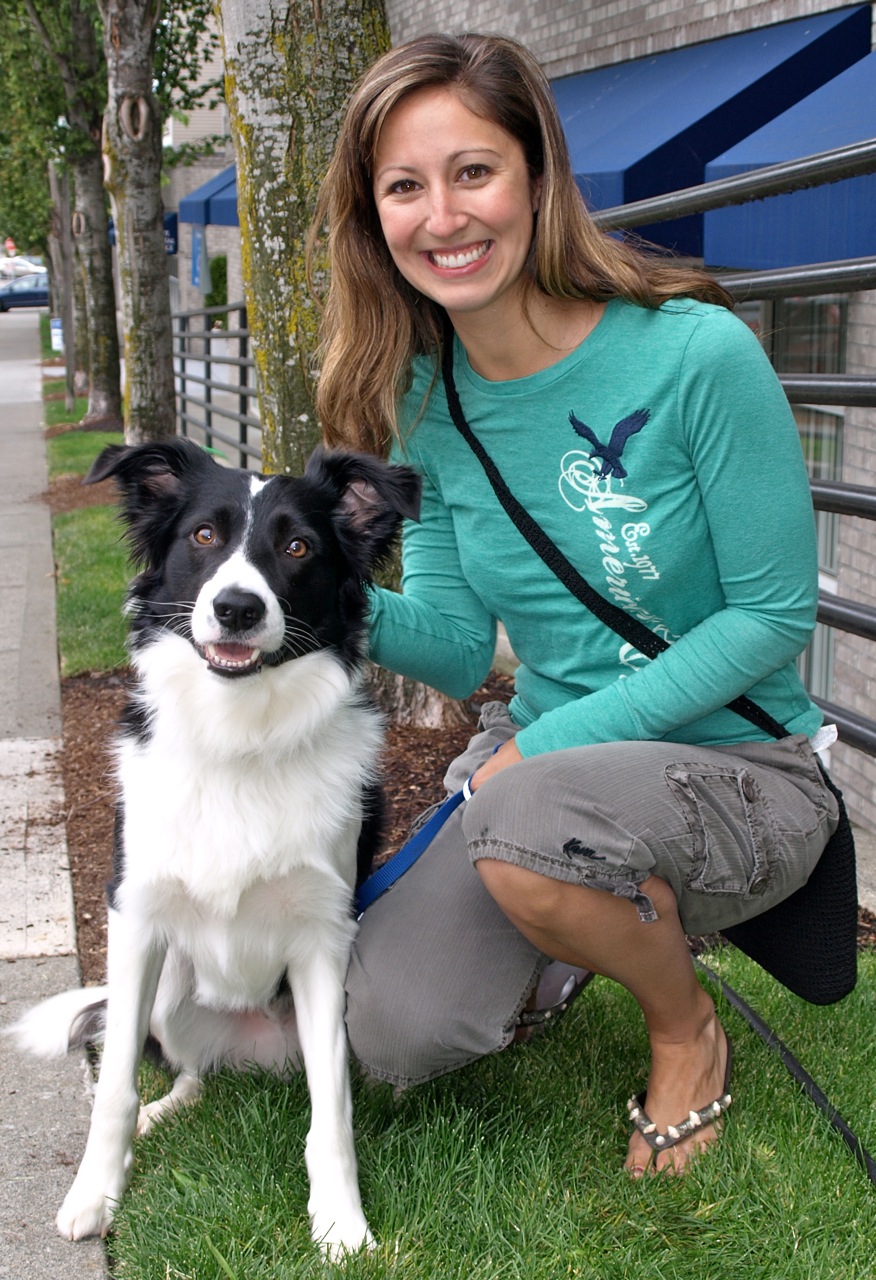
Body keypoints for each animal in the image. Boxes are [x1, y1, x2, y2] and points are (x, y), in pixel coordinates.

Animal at [10, 440, 420, 1259]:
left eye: (298, 547)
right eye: (203, 535)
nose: (237, 608)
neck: (241, 737)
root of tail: (249, 1051)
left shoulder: (324, 940)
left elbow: (332, 1112)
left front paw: (341, 1222)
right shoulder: (135, 918)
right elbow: (112, 1088)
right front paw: (94, 1196)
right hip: (171, 993)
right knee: (186, 1074)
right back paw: (158, 1116)